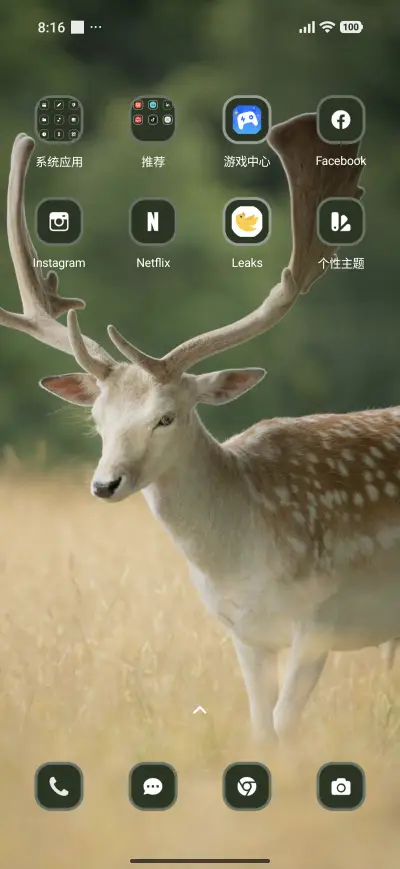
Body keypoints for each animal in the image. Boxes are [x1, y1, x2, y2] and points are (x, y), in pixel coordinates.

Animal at [2, 116, 400, 746]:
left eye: (167, 416)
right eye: (97, 419)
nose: (105, 484)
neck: (243, 558)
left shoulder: (320, 617)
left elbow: (285, 729)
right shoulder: (244, 633)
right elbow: (262, 730)